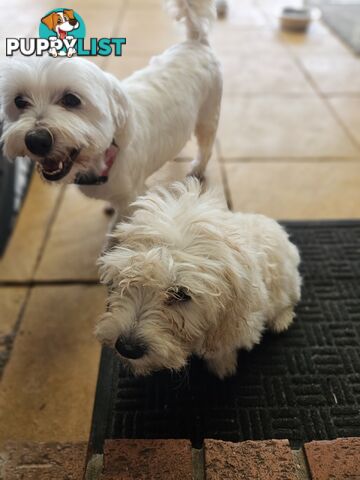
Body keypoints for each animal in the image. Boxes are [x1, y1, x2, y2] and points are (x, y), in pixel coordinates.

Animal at [0, 0, 221, 217]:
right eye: (19, 101)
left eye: (71, 99)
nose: (35, 140)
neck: (104, 157)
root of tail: (196, 41)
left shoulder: (132, 199)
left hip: (208, 115)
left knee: (206, 145)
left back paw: (198, 168)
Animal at [95, 178, 300, 380]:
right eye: (127, 277)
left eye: (181, 294)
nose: (127, 348)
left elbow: (222, 348)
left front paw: (223, 365)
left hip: (283, 283)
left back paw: (281, 320)